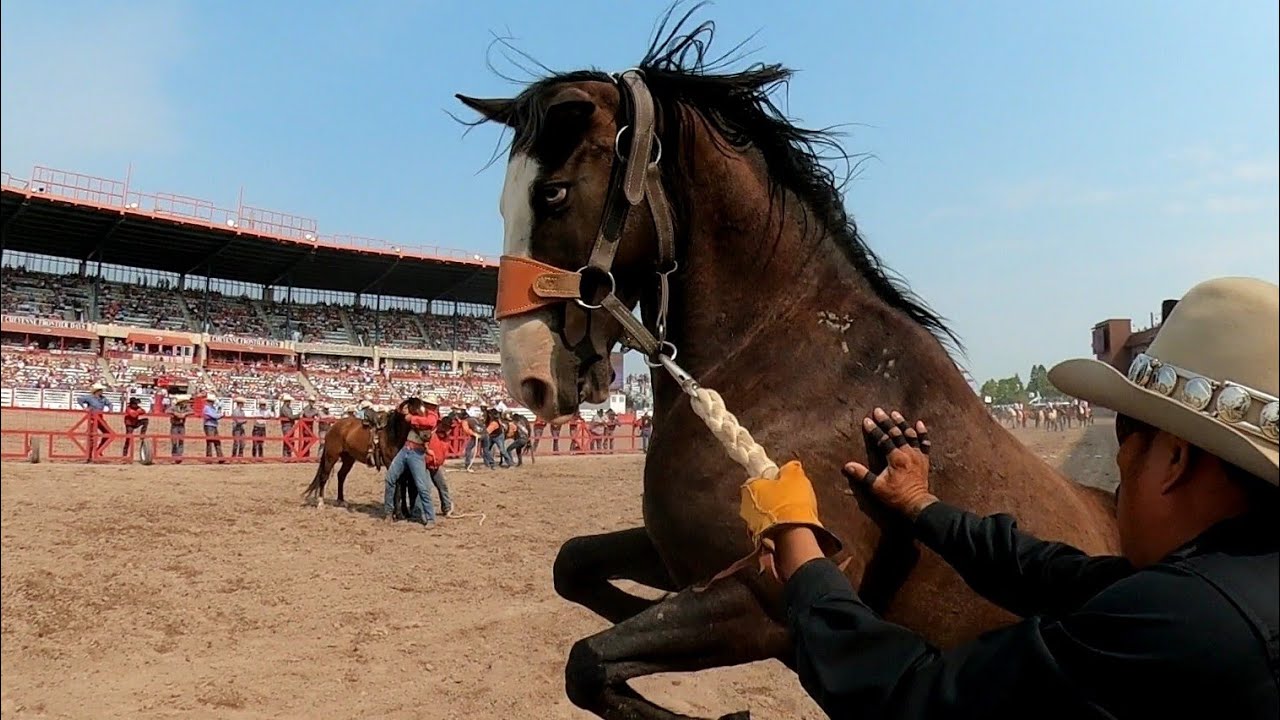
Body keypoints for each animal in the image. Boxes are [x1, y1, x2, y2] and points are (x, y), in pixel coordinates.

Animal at [457, 10, 1118, 719]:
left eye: (553, 193)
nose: (526, 378)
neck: (790, 365)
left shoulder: (768, 596)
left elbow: (587, 661)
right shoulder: (686, 560)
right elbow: (573, 570)